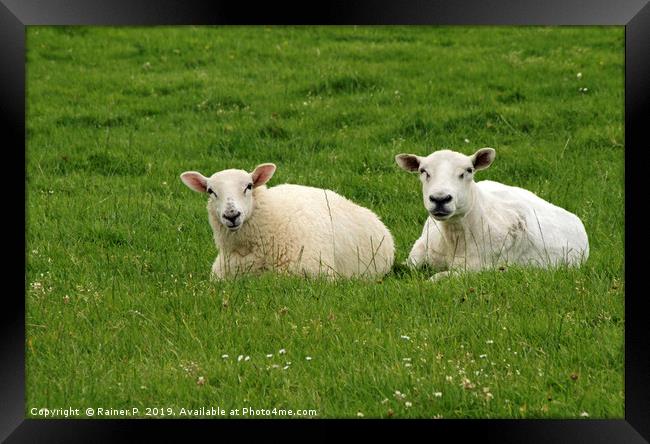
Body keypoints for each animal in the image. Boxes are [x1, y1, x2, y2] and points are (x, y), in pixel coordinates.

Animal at [394, 149, 588, 280]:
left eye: (468, 170)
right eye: (423, 171)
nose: (440, 198)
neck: (453, 237)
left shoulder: (473, 269)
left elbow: (435, 279)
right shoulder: (418, 251)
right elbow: (405, 266)